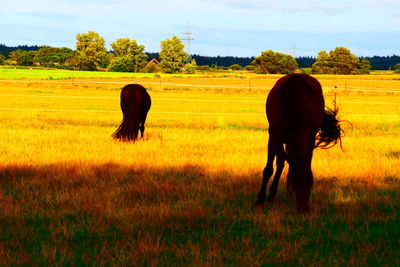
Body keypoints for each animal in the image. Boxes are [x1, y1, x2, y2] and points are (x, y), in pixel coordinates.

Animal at [255, 75, 342, 214]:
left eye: (310, 182)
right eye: (298, 182)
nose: (303, 209)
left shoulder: (307, 139)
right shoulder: (274, 136)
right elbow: (269, 169)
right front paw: (259, 201)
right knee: (282, 161)